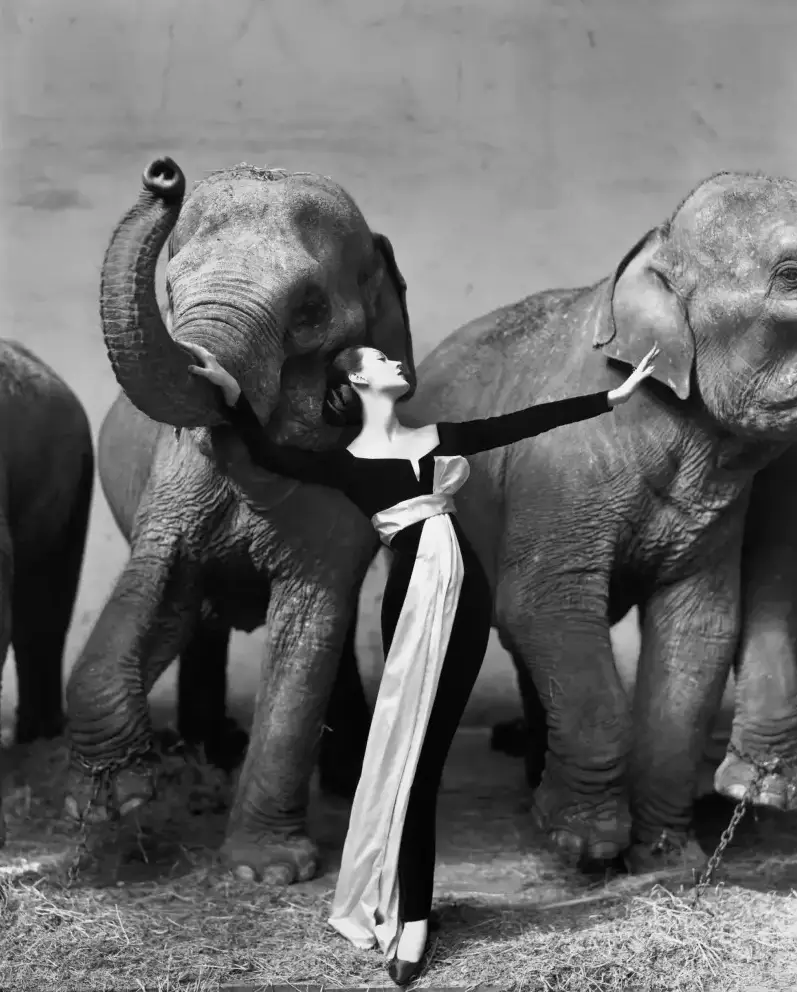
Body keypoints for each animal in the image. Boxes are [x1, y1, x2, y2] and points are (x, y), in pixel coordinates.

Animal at [62, 157, 413, 881]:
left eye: (309, 309)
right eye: (169, 289)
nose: (163, 174)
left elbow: (310, 621)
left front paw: (263, 873)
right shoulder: (171, 483)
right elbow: (156, 585)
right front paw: (114, 800)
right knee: (199, 622)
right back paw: (208, 756)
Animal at [392, 170, 797, 872]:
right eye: (794, 274)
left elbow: (699, 628)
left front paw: (666, 857)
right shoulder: (561, 470)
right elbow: (543, 602)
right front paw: (584, 845)